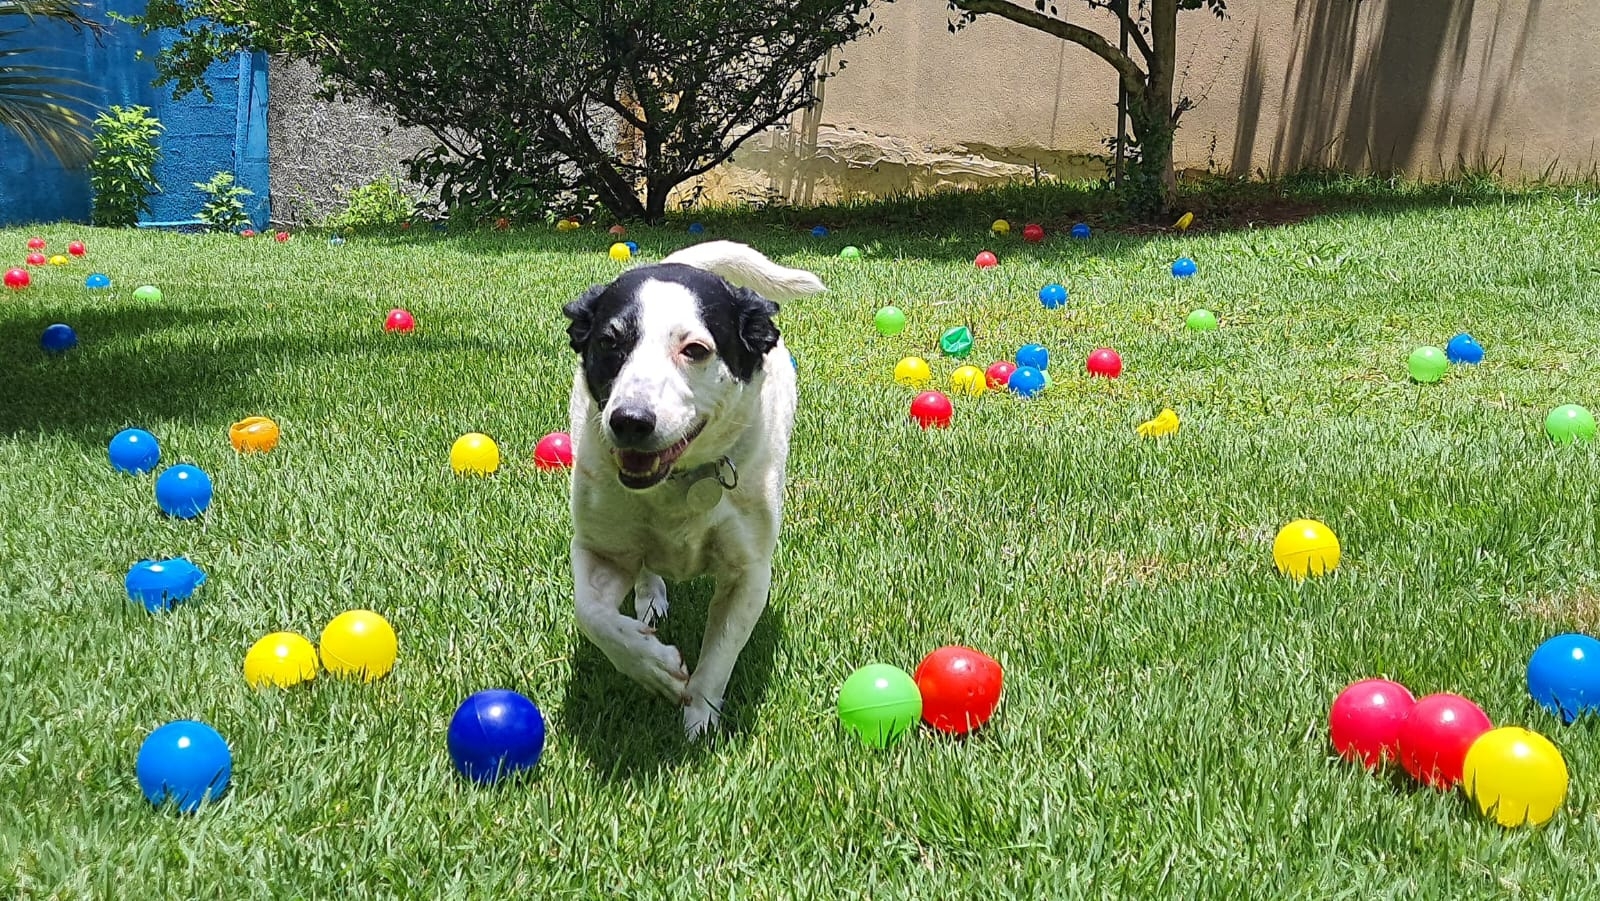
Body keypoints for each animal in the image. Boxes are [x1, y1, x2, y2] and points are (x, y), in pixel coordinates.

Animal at [561, 240, 826, 738]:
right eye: (609, 342)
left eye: (696, 349)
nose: (629, 420)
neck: (678, 480)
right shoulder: (600, 547)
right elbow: (591, 613)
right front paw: (650, 664)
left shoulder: (748, 572)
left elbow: (720, 653)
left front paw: (698, 721)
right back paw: (649, 599)